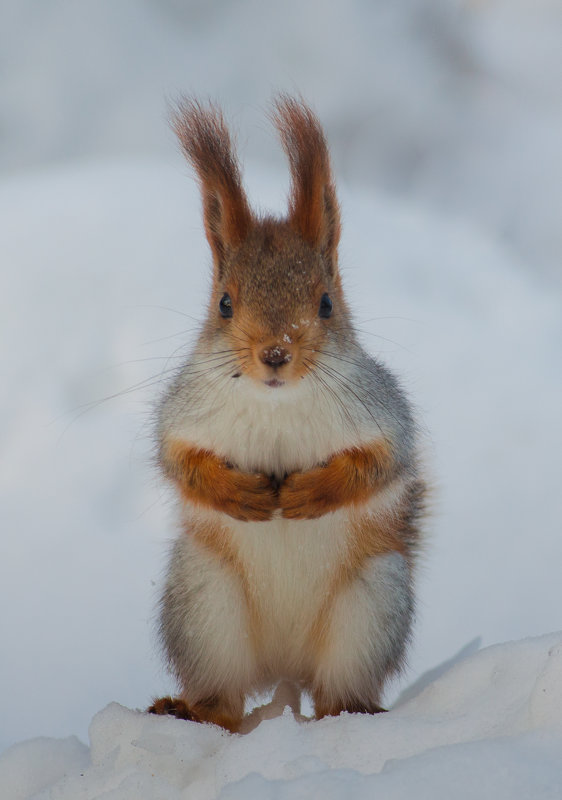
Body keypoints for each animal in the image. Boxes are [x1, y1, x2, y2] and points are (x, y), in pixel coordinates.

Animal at [149, 94, 424, 732]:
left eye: (325, 304)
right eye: (224, 304)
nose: (275, 353)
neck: (276, 402)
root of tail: (285, 670)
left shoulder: (383, 415)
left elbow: (381, 464)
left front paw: (306, 493)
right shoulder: (183, 413)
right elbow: (177, 460)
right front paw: (241, 495)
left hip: (370, 604)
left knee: (336, 689)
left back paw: (348, 713)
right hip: (204, 600)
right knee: (224, 701)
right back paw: (191, 712)